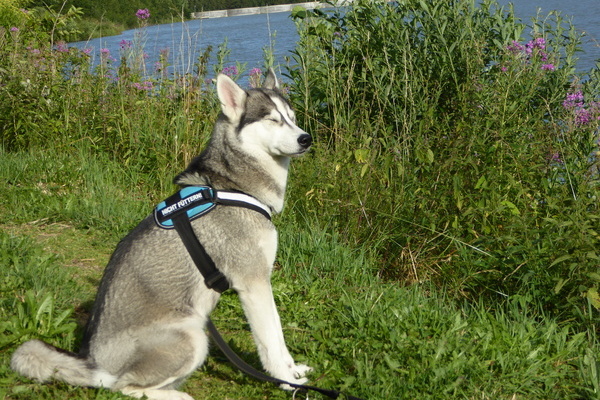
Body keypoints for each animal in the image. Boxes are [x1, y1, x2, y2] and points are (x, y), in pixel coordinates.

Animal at [11, 69, 314, 400]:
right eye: (272, 120)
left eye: (292, 117)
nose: (306, 138)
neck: (233, 185)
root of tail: (94, 364)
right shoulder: (253, 283)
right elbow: (272, 341)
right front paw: (287, 382)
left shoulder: (261, 282)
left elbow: (279, 338)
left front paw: (294, 371)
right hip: (192, 335)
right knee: (124, 387)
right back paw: (177, 395)